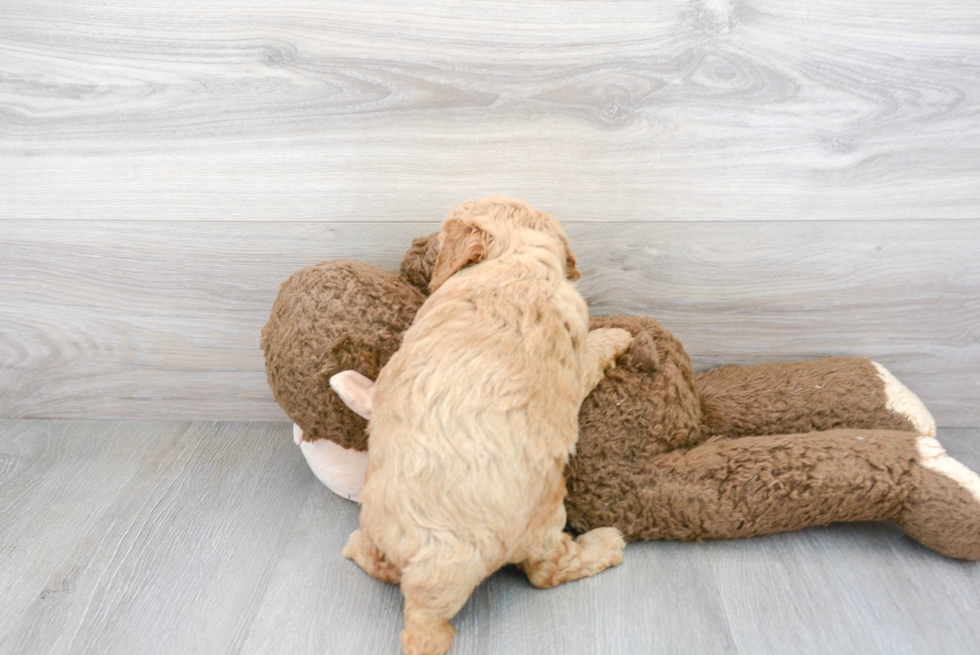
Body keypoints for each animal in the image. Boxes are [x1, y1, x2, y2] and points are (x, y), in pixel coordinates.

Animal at [344, 196, 636, 655]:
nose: (417, 243)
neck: (513, 260)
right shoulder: (575, 359)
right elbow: (594, 348)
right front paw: (619, 336)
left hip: (379, 526)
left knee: (377, 562)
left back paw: (357, 547)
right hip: (544, 517)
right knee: (547, 570)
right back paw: (605, 543)